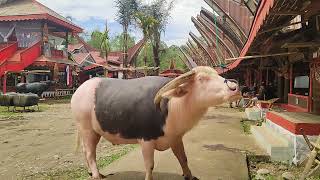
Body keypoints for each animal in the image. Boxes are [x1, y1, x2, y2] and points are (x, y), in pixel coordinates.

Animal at [70, 66, 240, 180]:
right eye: (201, 79)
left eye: (217, 74)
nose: (234, 87)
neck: (171, 106)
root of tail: (79, 91)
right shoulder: (146, 140)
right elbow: (149, 164)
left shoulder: (175, 138)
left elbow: (183, 158)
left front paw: (189, 176)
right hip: (86, 129)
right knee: (90, 153)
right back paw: (96, 175)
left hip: (94, 132)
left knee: (86, 151)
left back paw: (93, 172)